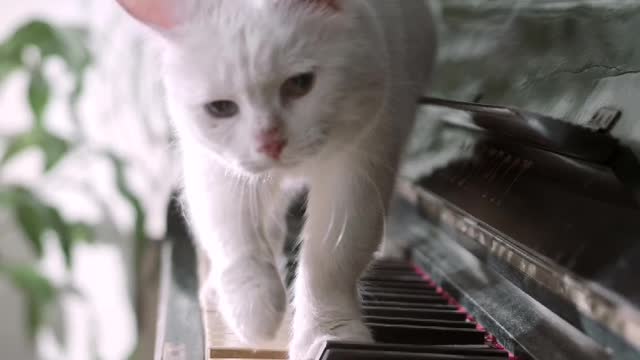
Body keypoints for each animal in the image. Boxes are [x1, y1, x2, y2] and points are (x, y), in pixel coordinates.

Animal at [114, 1, 436, 358]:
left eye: (300, 83)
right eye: (221, 108)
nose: (270, 143)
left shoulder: (361, 163)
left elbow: (331, 262)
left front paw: (329, 334)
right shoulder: (216, 168)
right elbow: (236, 240)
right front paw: (254, 314)